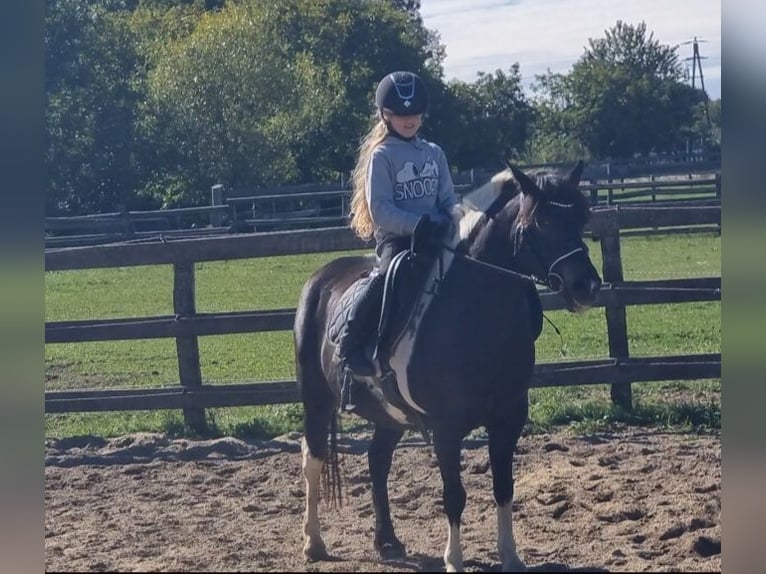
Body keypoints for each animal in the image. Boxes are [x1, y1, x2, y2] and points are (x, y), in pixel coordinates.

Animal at [293, 160, 602, 572]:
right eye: (542, 221)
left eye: (582, 216)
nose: (587, 286)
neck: (474, 315)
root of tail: (319, 278)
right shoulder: (446, 426)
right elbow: (454, 493)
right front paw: (454, 559)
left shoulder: (509, 418)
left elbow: (504, 487)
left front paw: (510, 555)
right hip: (316, 399)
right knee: (313, 459)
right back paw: (313, 542)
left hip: (388, 414)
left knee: (377, 462)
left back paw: (387, 542)